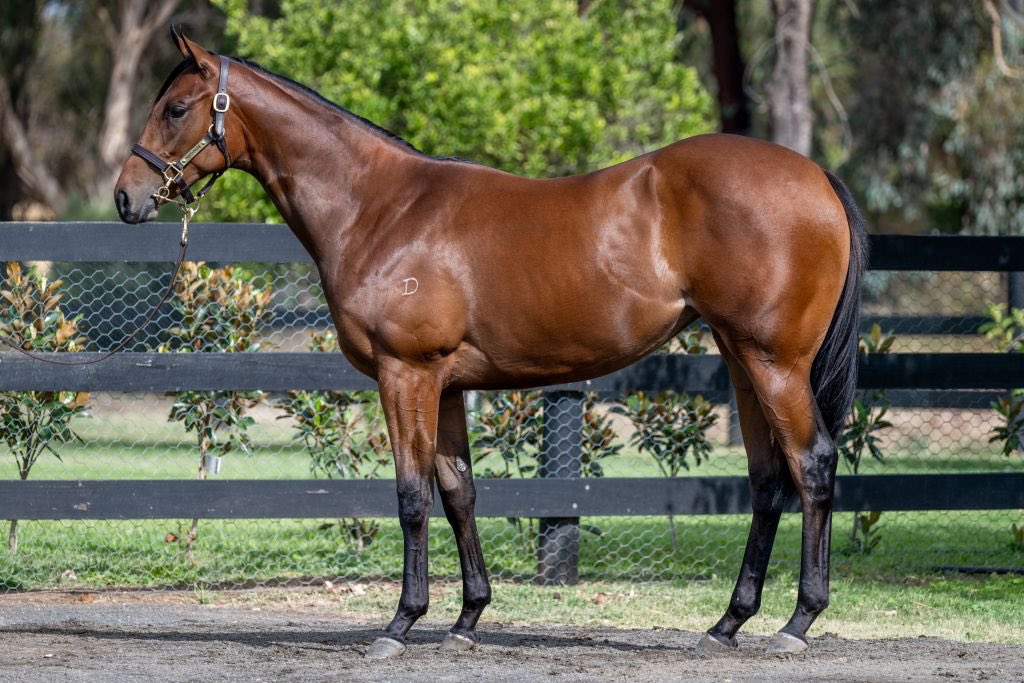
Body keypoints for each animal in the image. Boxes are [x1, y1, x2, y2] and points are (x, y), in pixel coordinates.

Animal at [114, 30, 864, 655]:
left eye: (176, 108)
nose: (126, 197)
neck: (381, 208)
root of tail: (817, 177)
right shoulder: (445, 386)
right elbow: (459, 492)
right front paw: (467, 618)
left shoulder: (405, 374)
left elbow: (412, 496)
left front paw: (400, 623)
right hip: (742, 360)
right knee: (767, 478)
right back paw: (728, 623)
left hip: (775, 363)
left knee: (813, 465)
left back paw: (797, 622)